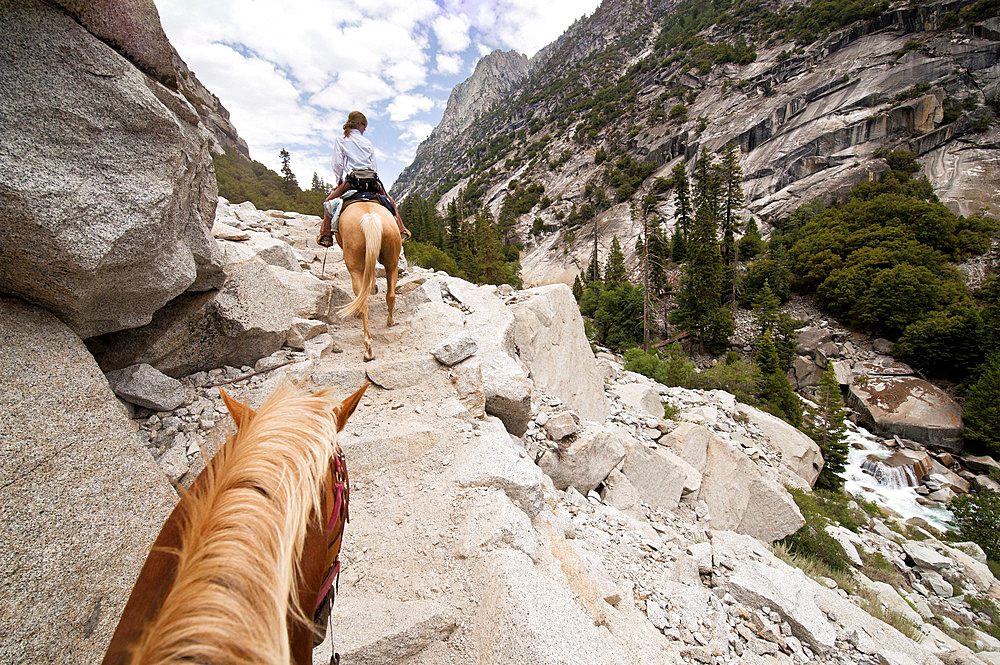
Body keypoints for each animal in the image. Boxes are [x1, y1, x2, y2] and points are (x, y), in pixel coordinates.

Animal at [334, 200, 400, 360]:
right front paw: (373, 287)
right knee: (390, 295)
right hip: (392, 262)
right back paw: (390, 321)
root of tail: (370, 217)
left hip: (355, 267)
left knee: (363, 302)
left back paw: (368, 349)